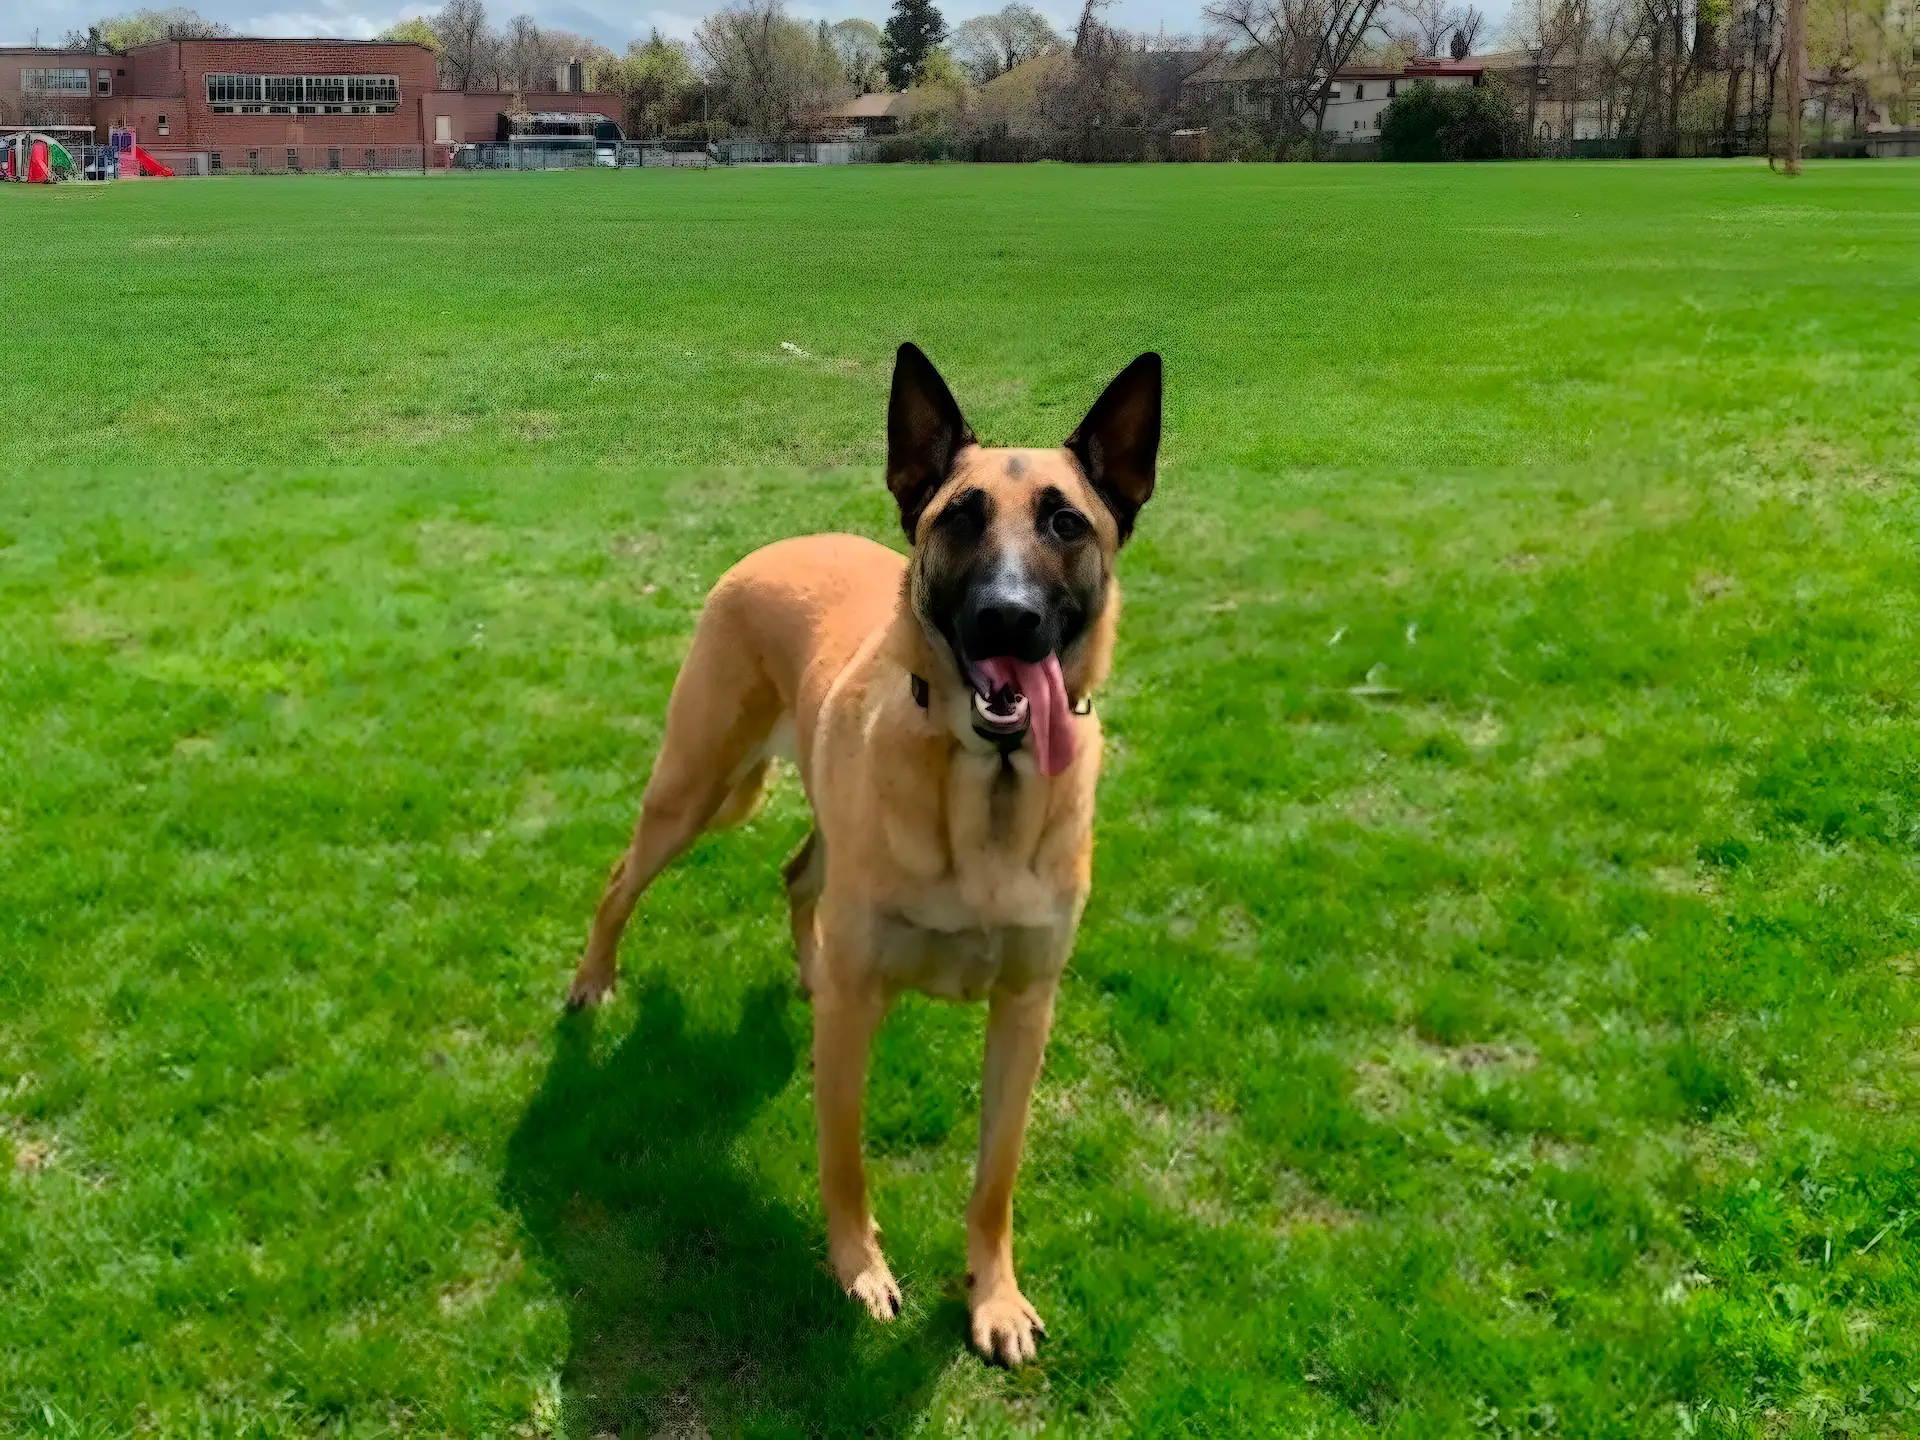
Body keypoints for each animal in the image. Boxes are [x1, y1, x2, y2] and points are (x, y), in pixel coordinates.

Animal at [568, 343, 1159, 1367]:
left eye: (1066, 521)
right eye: (958, 517)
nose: (1008, 618)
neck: (987, 786)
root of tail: (778, 545)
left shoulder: (1025, 1010)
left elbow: (995, 1179)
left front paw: (994, 1298)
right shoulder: (856, 1020)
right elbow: (843, 1158)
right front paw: (858, 1270)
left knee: (798, 872)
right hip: (693, 787)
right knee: (621, 878)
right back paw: (594, 980)